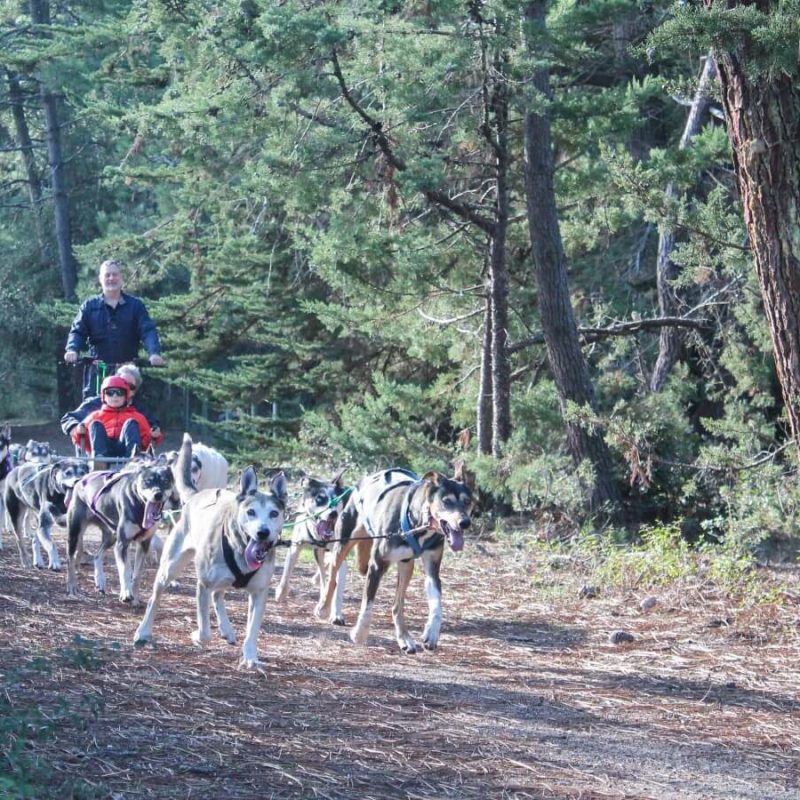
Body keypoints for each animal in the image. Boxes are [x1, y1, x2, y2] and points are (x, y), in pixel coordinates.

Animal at [67, 460, 177, 604]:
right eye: (148, 481)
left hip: (111, 537)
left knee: (97, 555)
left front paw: (135, 597)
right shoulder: (122, 544)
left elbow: (136, 574)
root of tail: (81, 480)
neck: (140, 507)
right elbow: (125, 570)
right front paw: (126, 593)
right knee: (70, 560)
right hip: (75, 533)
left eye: (165, 481)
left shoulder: (143, 544)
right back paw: (72, 586)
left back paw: (100, 581)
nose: (158, 494)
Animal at [134, 434, 288, 672]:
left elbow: (252, 631)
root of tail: (196, 496)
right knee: (155, 599)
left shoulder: (259, 592)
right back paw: (143, 631)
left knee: (218, 595)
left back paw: (227, 629)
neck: (240, 549)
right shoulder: (203, 585)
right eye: (251, 512)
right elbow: (205, 631)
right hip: (169, 568)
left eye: (273, 513)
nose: (263, 532)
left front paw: (250, 657)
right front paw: (196, 636)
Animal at [276, 468, 346, 624]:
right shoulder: (297, 546)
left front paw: (335, 614)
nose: (333, 513)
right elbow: (287, 573)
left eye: (336, 500)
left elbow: (336, 587)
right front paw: (281, 593)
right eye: (320, 498)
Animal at [316, 466, 472, 652]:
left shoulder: (432, 569)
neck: (417, 523)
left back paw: (404, 638)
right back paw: (324, 608)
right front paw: (360, 634)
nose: (465, 522)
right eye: (446, 501)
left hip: (406, 566)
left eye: (468, 502)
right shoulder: (377, 565)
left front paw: (431, 633)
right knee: (332, 577)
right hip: (343, 544)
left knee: (398, 605)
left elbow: (437, 607)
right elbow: (367, 604)